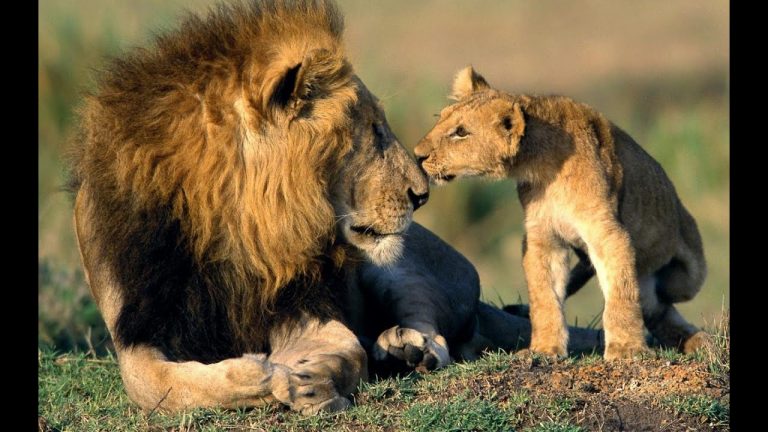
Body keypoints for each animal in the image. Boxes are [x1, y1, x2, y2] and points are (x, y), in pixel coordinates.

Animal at [68, 2, 604, 414]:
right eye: (373, 131)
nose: (422, 194)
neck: (234, 229)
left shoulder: (305, 304)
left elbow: (346, 349)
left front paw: (309, 378)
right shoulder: (136, 327)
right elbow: (150, 384)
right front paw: (260, 377)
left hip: (401, 263)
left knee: (439, 329)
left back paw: (405, 349)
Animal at [414, 66, 710, 360]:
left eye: (461, 132)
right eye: (440, 120)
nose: (417, 155)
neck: (542, 167)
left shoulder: (608, 233)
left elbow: (621, 293)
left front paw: (626, 348)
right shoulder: (543, 238)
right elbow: (545, 298)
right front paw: (545, 349)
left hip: (687, 276)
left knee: (661, 301)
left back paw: (698, 340)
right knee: (655, 309)